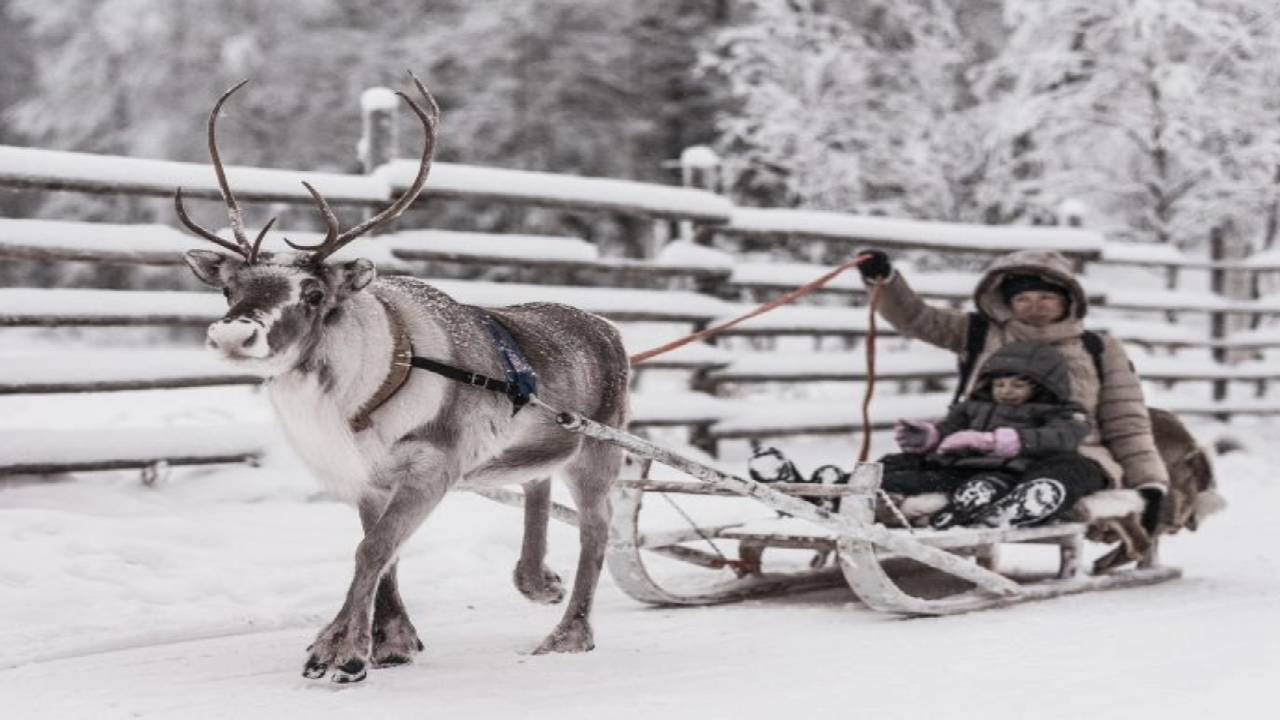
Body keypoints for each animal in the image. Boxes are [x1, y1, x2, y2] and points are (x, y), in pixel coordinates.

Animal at [176, 74, 630, 683]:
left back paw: (569, 633)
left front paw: (340, 651)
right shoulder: (367, 478)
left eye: (313, 294)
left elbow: (372, 550)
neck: (360, 396)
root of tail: (608, 328)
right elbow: (382, 552)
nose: (233, 334)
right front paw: (391, 642)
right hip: (536, 442)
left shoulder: (432, 467)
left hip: (599, 449)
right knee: (537, 481)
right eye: (229, 289)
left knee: (597, 528)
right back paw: (538, 582)